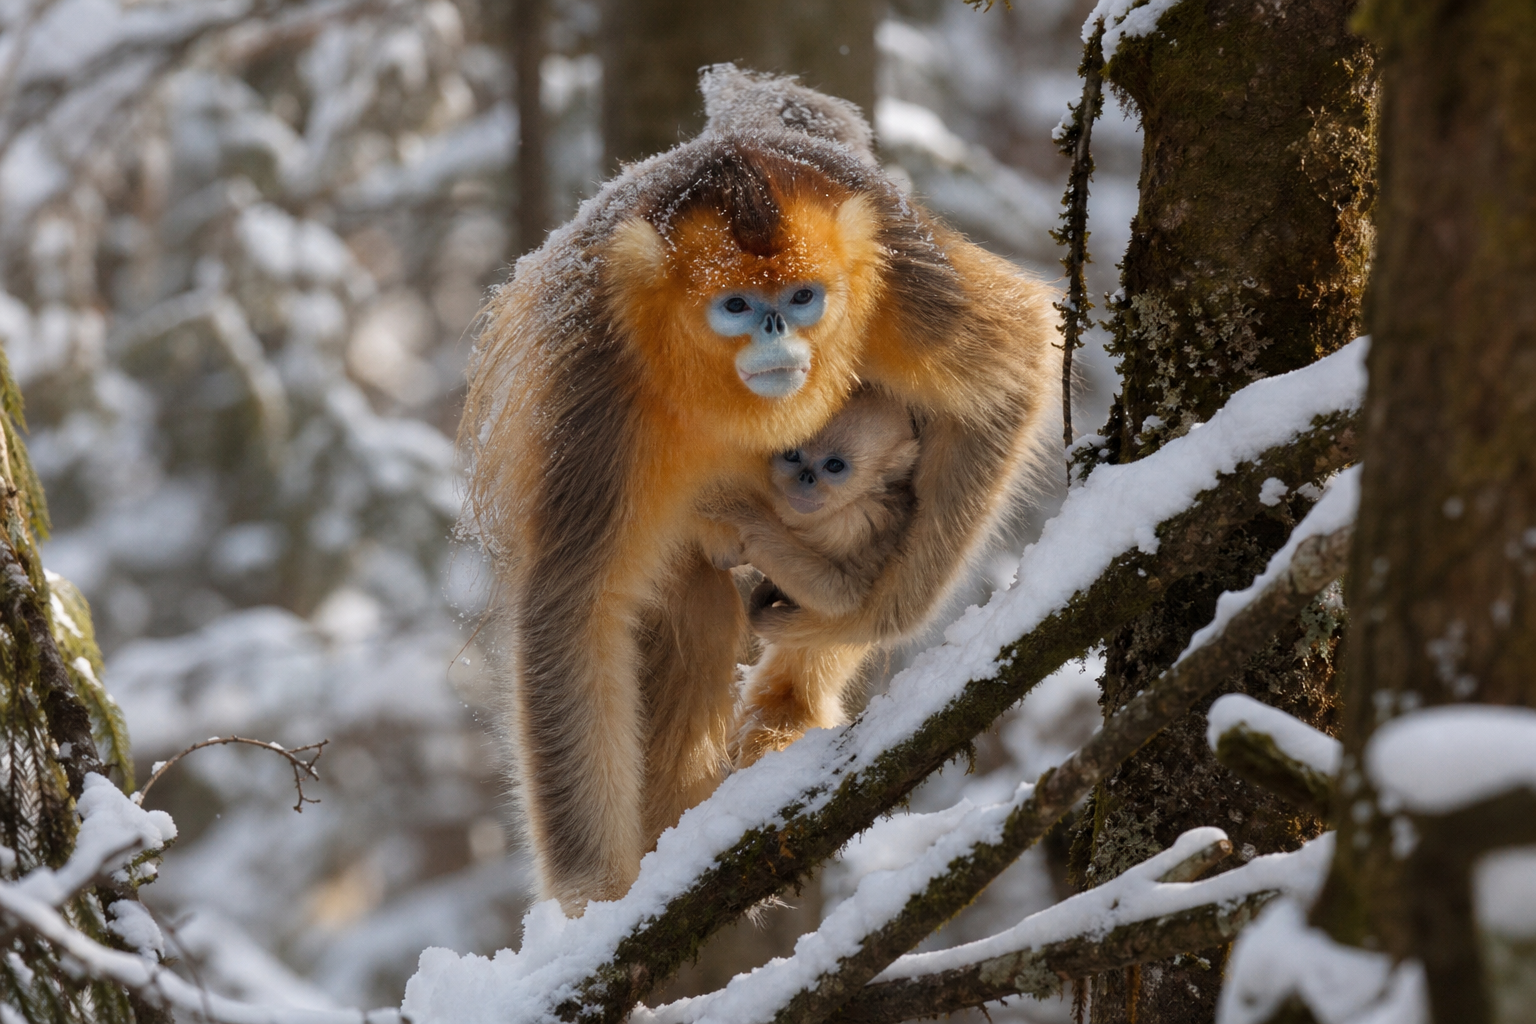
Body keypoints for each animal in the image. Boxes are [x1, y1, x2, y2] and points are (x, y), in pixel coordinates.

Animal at [700, 389, 920, 767]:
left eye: (834, 466)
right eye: (792, 455)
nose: (804, 478)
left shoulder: (856, 524)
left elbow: (841, 597)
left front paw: (737, 510)